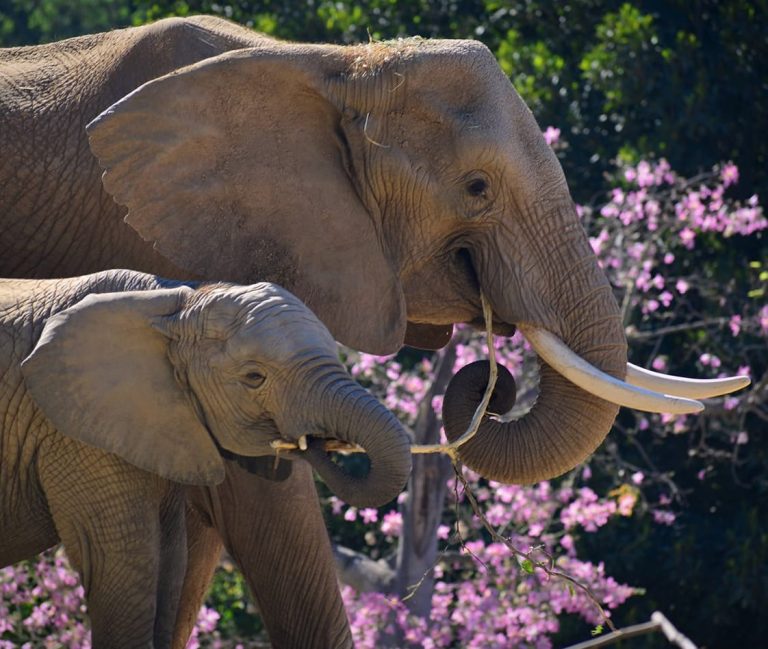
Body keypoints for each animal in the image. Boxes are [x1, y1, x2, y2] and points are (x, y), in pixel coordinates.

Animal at [0, 269, 412, 648]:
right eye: (254, 377)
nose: (310, 441)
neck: (175, 302)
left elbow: (170, 560)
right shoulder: (72, 430)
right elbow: (122, 561)